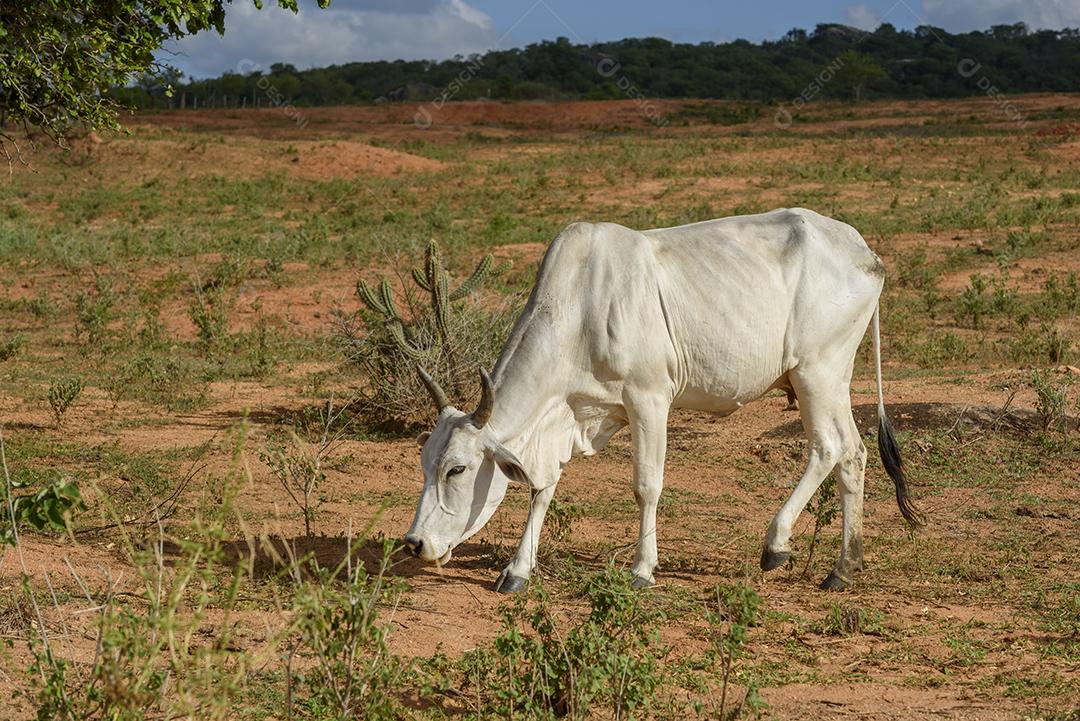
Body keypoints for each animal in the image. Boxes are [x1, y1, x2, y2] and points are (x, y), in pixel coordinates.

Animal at [406, 208, 920, 591]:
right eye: (425, 464)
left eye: (457, 469)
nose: (413, 543)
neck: (579, 309)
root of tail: (864, 250)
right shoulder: (566, 416)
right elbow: (542, 487)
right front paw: (517, 570)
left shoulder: (648, 399)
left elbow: (646, 485)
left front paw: (642, 569)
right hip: (833, 377)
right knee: (853, 454)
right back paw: (844, 567)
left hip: (817, 372)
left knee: (828, 448)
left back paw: (777, 545)